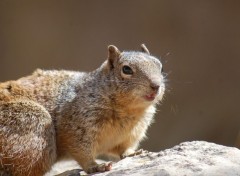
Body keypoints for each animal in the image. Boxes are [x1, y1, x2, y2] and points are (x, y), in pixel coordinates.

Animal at [0, 44, 165, 175]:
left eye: (160, 66)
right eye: (126, 69)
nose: (156, 85)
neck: (129, 110)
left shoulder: (130, 135)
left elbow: (124, 149)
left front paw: (134, 153)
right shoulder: (76, 126)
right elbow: (81, 151)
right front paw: (96, 167)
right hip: (34, 123)